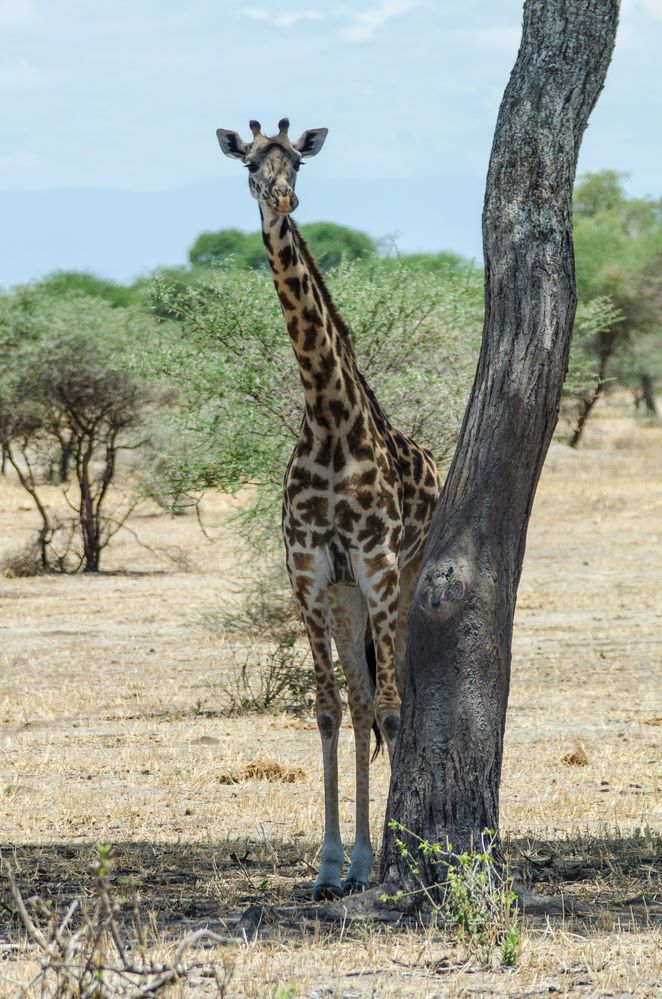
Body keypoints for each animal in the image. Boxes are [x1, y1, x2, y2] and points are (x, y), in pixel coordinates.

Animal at [220, 117, 444, 900]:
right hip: (347, 595)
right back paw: (357, 861)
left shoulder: (375, 561)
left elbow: (394, 710)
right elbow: (325, 708)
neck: (326, 418)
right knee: (358, 700)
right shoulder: (310, 568)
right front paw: (327, 865)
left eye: (297, 160)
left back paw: (382, 857)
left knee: (392, 698)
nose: (280, 198)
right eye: (249, 163)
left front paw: (390, 855)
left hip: (400, 577)